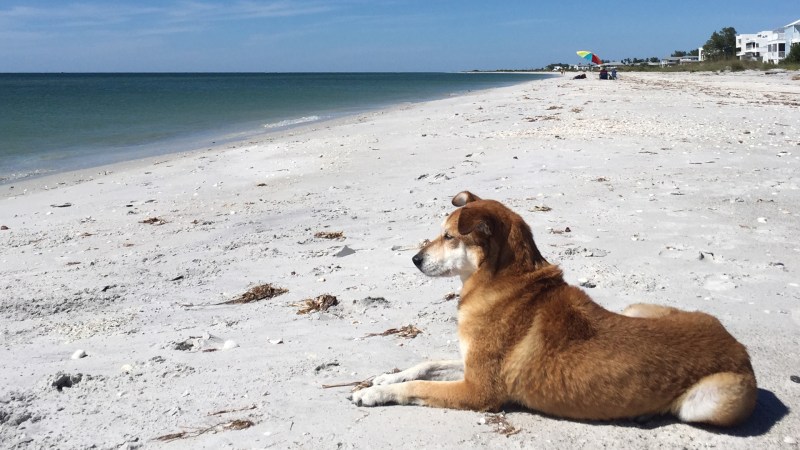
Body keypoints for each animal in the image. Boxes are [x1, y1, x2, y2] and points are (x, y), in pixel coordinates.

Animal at [350, 190, 756, 426]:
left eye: (448, 236)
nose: (415, 259)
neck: (501, 284)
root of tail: (739, 347)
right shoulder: (469, 365)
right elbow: (427, 365)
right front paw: (383, 378)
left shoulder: (478, 390)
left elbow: (418, 385)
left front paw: (373, 394)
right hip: (637, 307)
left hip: (708, 404)